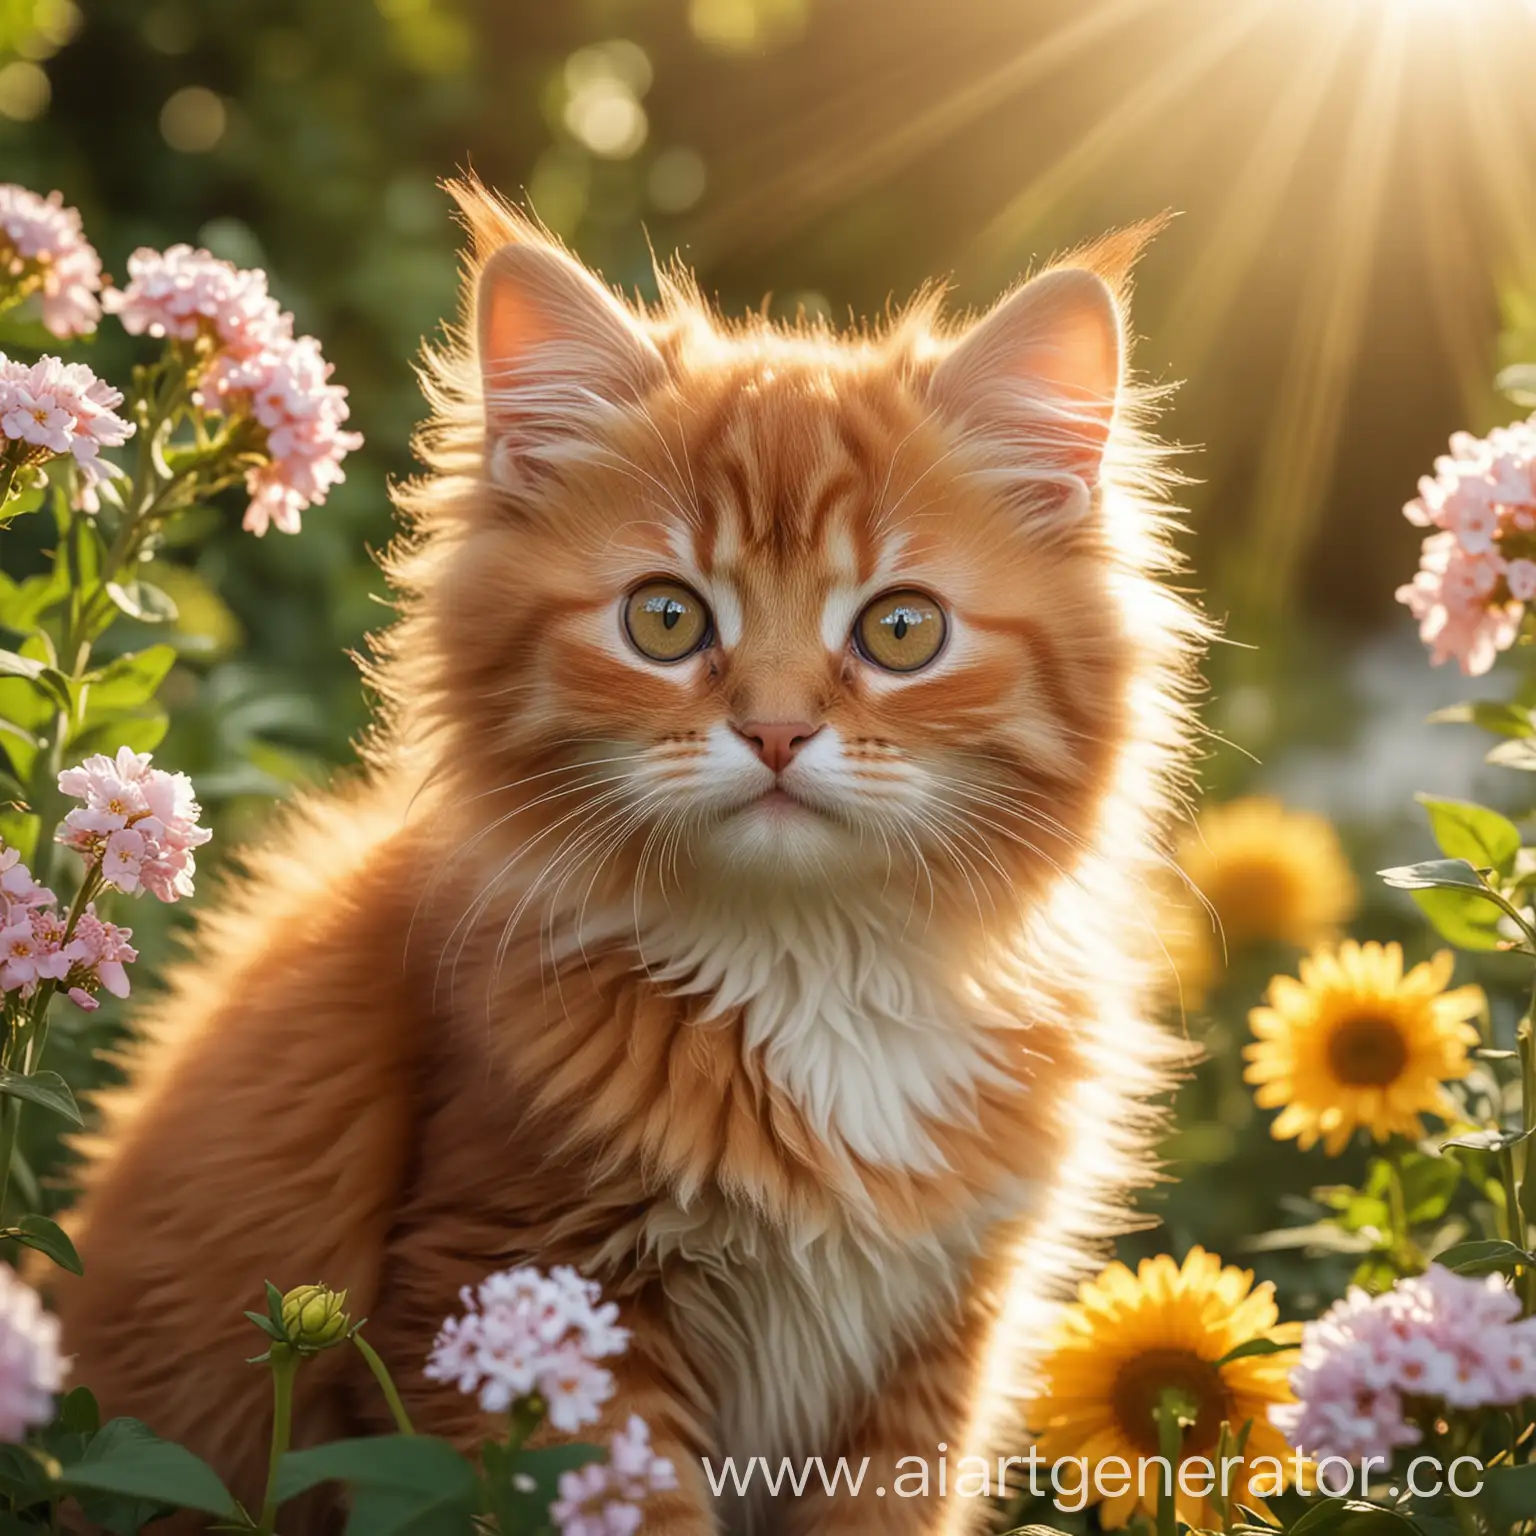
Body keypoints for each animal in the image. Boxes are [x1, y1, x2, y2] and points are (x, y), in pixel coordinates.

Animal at [54, 182, 1204, 1536]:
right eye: (666, 619)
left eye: (900, 631)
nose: (776, 730)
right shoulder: (520, 1280)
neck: (811, 972)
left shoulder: (931, 1353)